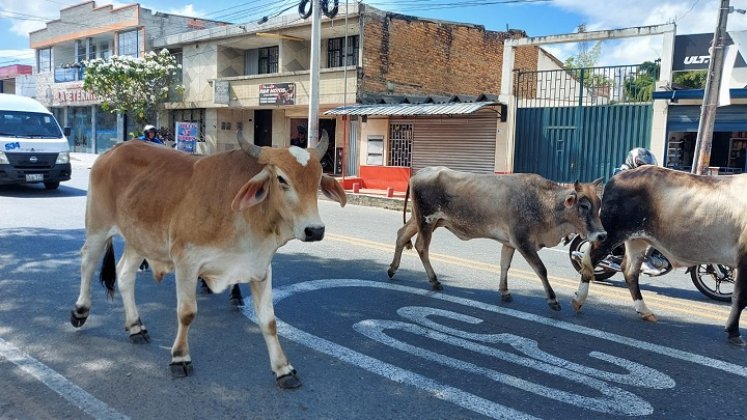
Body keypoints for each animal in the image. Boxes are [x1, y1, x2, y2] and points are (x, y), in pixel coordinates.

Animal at [70, 130, 348, 388]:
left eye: (317, 179)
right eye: (281, 179)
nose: (315, 230)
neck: (243, 217)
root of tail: (112, 151)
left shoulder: (260, 268)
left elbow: (269, 321)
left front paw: (283, 370)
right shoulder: (186, 261)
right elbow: (187, 313)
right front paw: (180, 358)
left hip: (139, 239)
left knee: (125, 274)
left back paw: (136, 327)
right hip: (98, 227)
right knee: (87, 262)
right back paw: (80, 311)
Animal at [386, 166, 608, 310]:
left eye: (599, 205)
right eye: (584, 206)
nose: (602, 235)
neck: (543, 203)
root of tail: (421, 172)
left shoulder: (509, 243)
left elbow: (504, 265)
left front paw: (505, 291)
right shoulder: (523, 242)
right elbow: (541, 270)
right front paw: (553, 300)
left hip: (420, 220)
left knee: (400, 235)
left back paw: (392, 269)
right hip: (426, 221)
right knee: (422, 247)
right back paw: (434, 281)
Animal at [572, 167, 747, 344]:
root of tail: (618, 176)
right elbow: (740, 298)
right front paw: (734, 332)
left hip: (637, 240)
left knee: (630, 271)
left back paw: (644, 311)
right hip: (611, 233)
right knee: (589, 259)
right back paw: (579, 300)